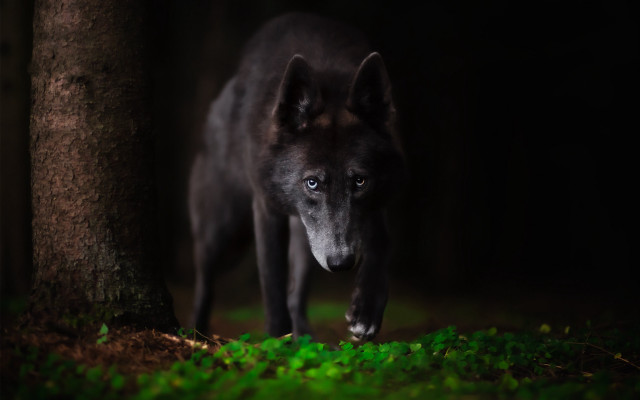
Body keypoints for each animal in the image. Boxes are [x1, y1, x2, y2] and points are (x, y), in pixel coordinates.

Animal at [189, 13, 405, 341]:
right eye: (312, 183)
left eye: (359, 181)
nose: (341, 263)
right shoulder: (266, 211)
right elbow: (272, 283)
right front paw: (274, 339)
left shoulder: (376, 199)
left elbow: (384, 241)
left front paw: (366, 312)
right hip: (222, 230)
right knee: (204, 282)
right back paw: (197, 334)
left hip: (307, 245)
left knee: (296, 296)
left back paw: (304, 339)